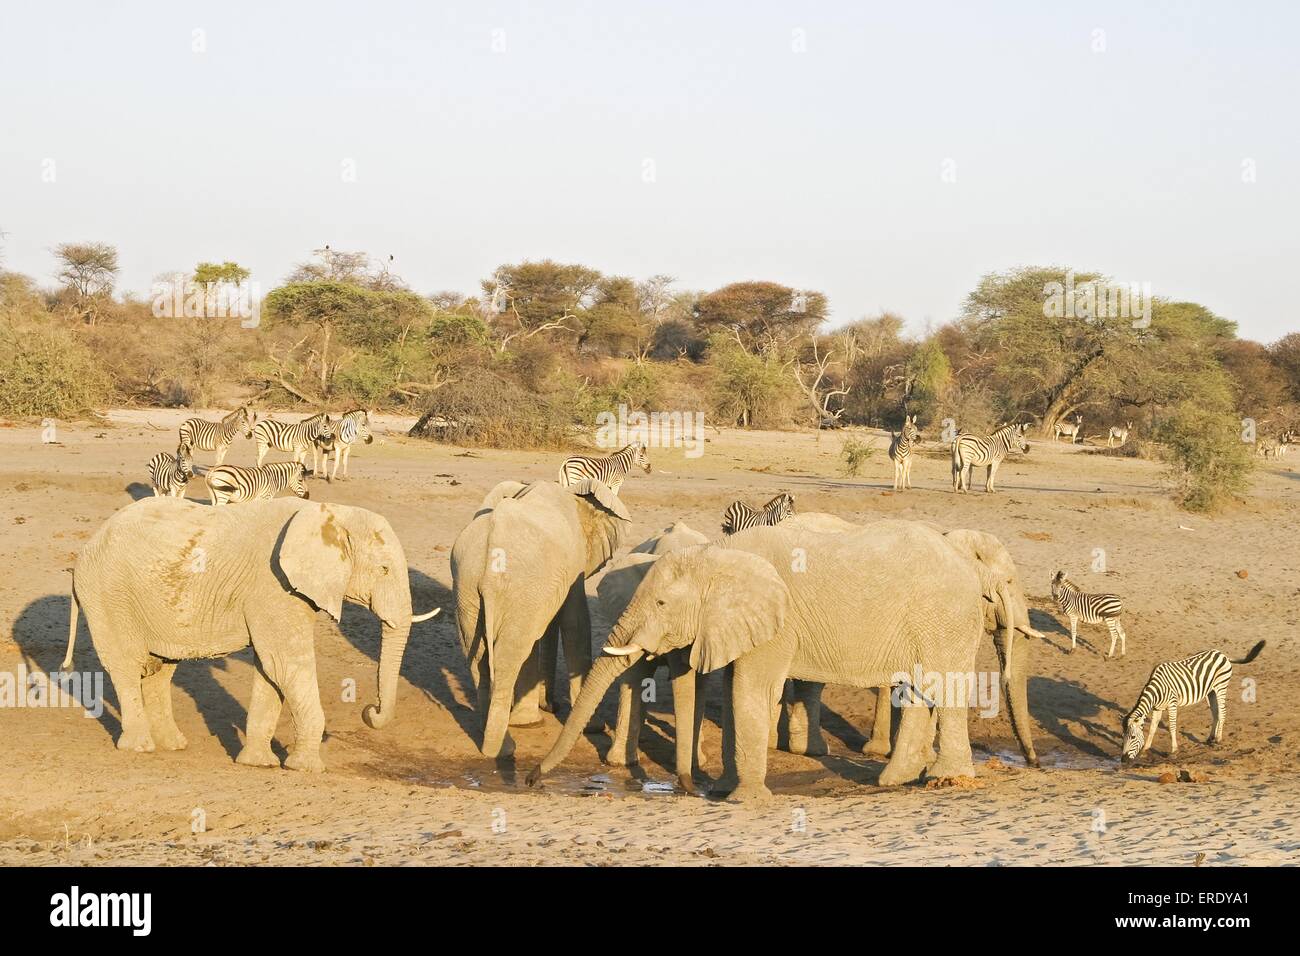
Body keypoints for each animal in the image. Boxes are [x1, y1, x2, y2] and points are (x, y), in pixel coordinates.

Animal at [62, 497, 438, 770]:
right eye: (384, 569)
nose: (369, 710)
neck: (330, 512)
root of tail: (86, 549)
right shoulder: (274, 585)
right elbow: (284, 665)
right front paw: (305, 768)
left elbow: (271, 670)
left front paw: (259, 764)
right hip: (108, 594)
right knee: (126, 665)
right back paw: (140, 748)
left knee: (161, 669)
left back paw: (174, 744)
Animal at [450, 479, 629, 758]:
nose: (552, 706)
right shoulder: (572, 563)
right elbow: (576, 623)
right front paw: (593, 728)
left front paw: (531, 720)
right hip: (514, 585)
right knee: (507, 658)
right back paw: (501, 749)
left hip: (468, 587)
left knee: (478, 658)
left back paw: (490, 736)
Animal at [532, 520, 989, 800]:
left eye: (661, 603)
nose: (533, 777)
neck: (716, 555)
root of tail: (965, 563)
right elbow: (736, 689)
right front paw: (723, 790)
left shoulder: (778, 623)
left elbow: (749, 690)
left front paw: (741, 798)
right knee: (917, 692)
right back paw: (894, 780)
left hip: (945, 618)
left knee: (943, 690)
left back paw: (946, 779)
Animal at [1121, 640, 1265, 762]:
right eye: (1123, 736)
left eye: (1132, 737)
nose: (1123, 760)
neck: (1157, 690)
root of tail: (1222, 654)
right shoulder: (1158, 707)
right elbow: (1152, 728)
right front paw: (1145, 749)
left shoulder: (1172, 704)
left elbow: (1172, 727)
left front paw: (1174, 751)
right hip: (1210, 692)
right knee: (1215, 712)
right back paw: (1210, 738)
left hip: (1221, 686)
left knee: (1223, 711)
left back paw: (1218, 739)